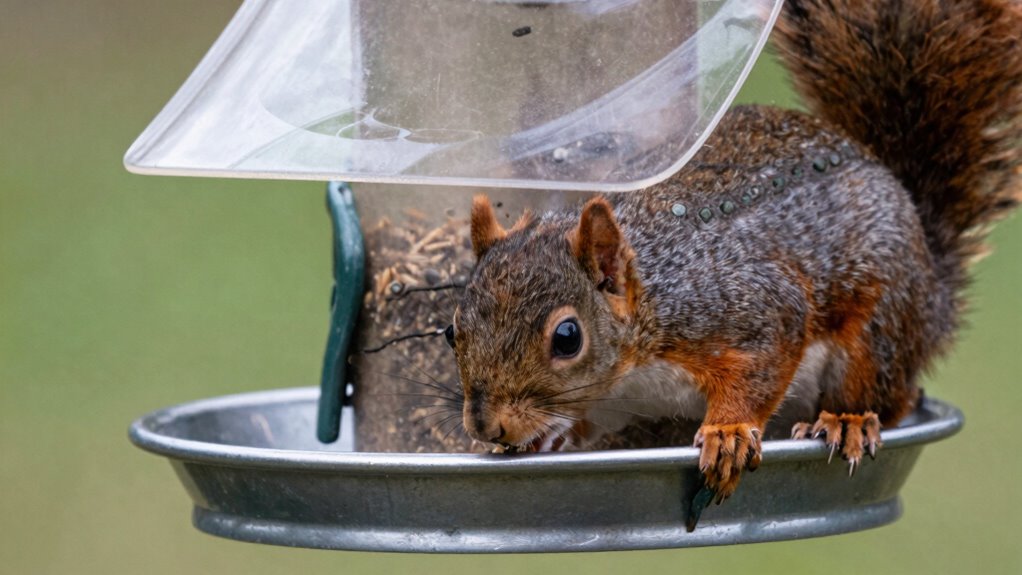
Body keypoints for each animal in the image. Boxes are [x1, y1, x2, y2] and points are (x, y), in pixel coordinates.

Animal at [445, 0, 1022, 502]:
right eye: (452, 331)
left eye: (567, 338)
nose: (487, 425)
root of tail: (933, 290)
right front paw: (550, 435)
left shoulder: (746, 308)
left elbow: (760, 367)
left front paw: (729, 432)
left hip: (879, 325)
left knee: (886, 392)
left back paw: (850, 420)